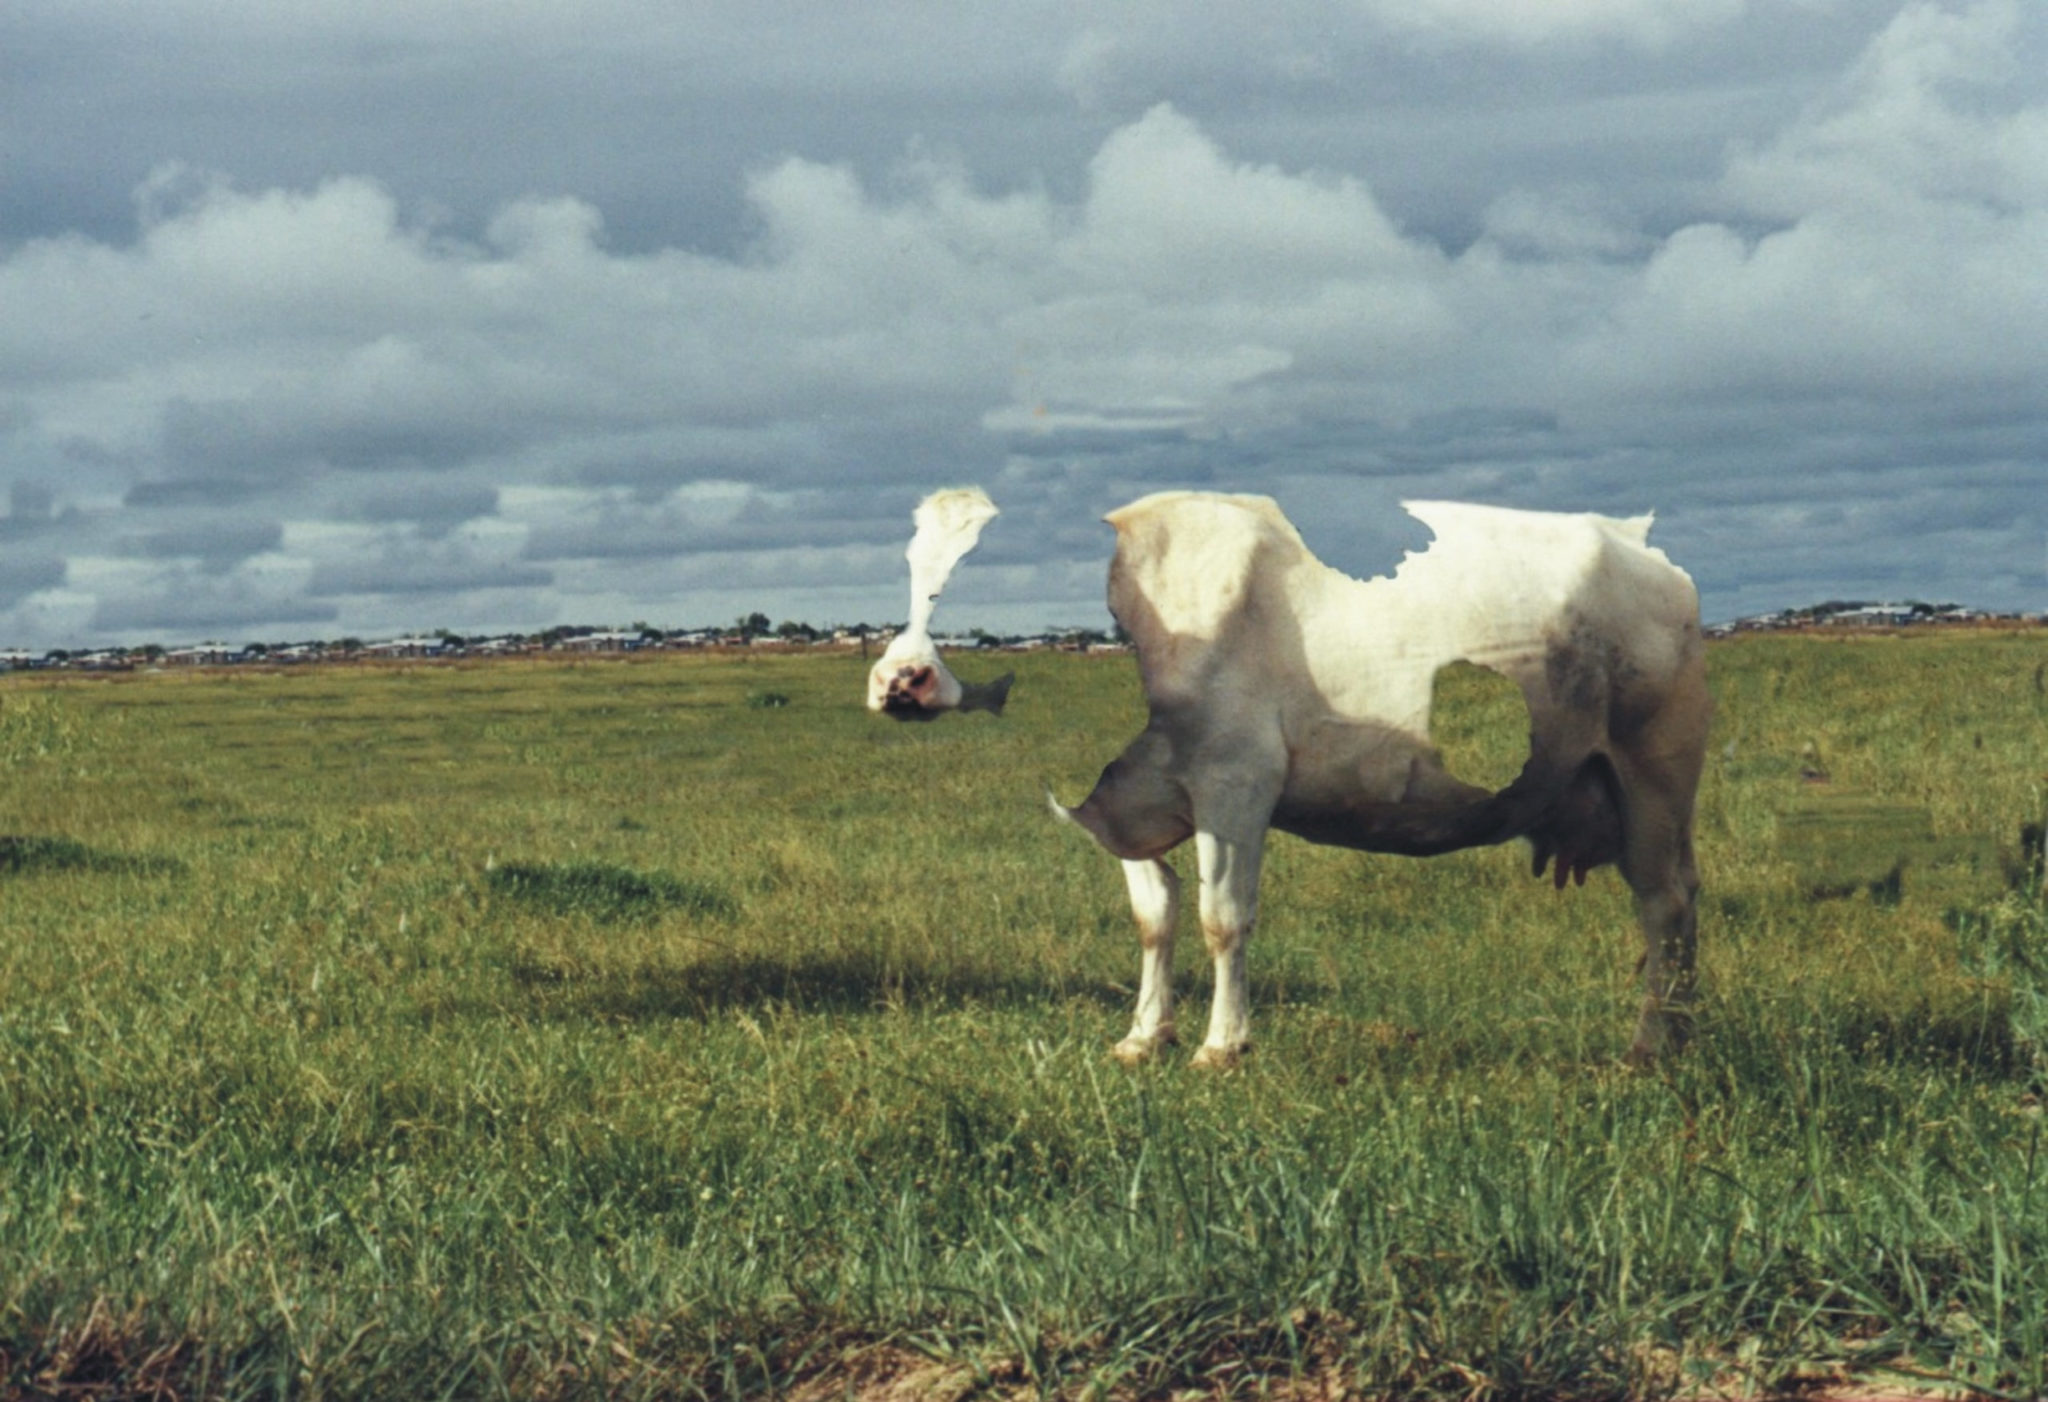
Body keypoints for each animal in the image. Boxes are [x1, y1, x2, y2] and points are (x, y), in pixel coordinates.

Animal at [1052, 491, 1710, 1068]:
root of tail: (1635, 540)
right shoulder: (1126, 801)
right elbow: (1153, 914)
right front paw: (1143, 1036)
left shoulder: (1236, 780)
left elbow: (1223, 917)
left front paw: (1222, 1046)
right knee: (1682, 896)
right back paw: (1680, 1034)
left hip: (1654, 773)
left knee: (1664, 902)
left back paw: (1650, 1045)